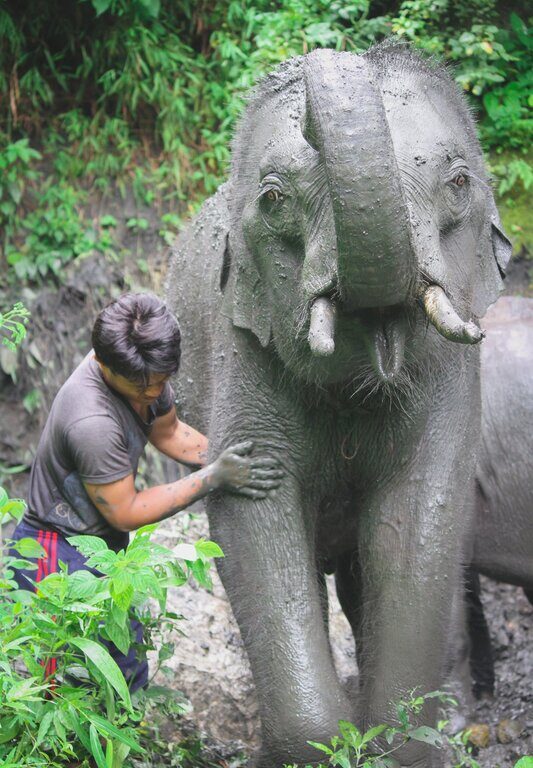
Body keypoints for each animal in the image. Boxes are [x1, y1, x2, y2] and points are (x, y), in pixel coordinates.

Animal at [166, 42, 512, 767]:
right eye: (273, 199)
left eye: (458, 182)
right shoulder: (246, 346)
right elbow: (254, 515)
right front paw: (323, 744)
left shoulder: (448, 379)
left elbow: (417, 518)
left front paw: (398, 739)